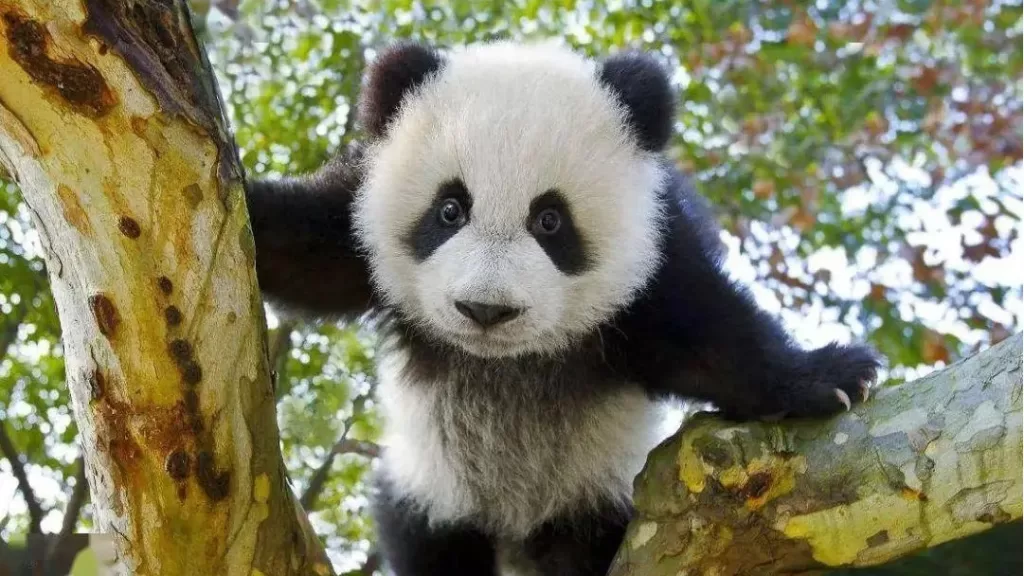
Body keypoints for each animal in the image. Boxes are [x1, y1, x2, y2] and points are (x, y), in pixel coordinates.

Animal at [245, 41, 880, 576]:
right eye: (449, 209)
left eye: (550, 221)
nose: (485, 311)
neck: (505, 360)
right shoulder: (358, 212)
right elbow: (304, 251)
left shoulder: (653, 257)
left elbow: (710, 341)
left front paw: (826, 375)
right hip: (434, 489)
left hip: (588, 494)